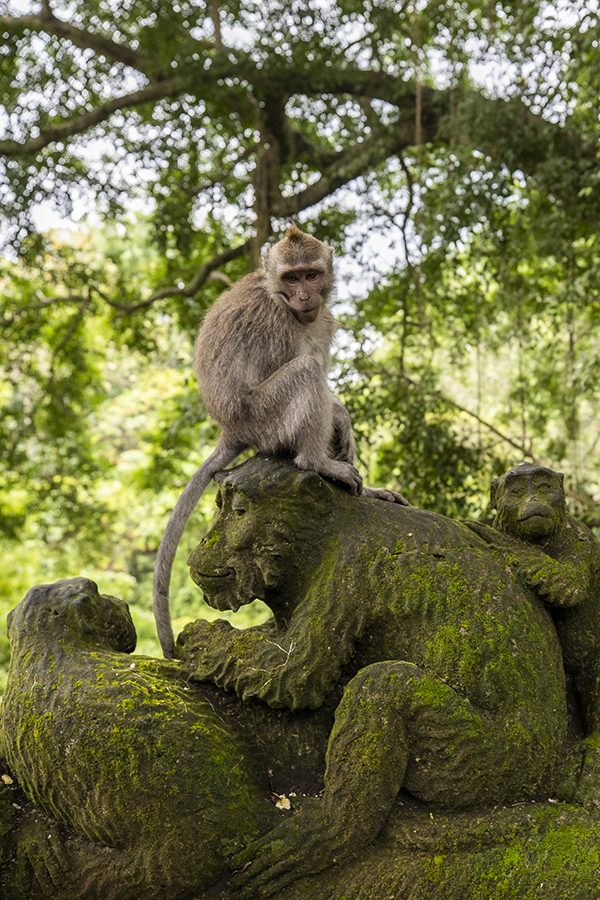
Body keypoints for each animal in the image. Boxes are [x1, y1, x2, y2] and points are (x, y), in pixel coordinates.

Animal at [152, 224, 410, 656]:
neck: (281, 299)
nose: (305, 297)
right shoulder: (274, 322)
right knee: (304, 372)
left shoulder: (324, 319)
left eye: (310, 275)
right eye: (291, 279)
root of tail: (232, 429)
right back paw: (317, 462)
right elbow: (300, 370)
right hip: (264, 420)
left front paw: (342, 418)